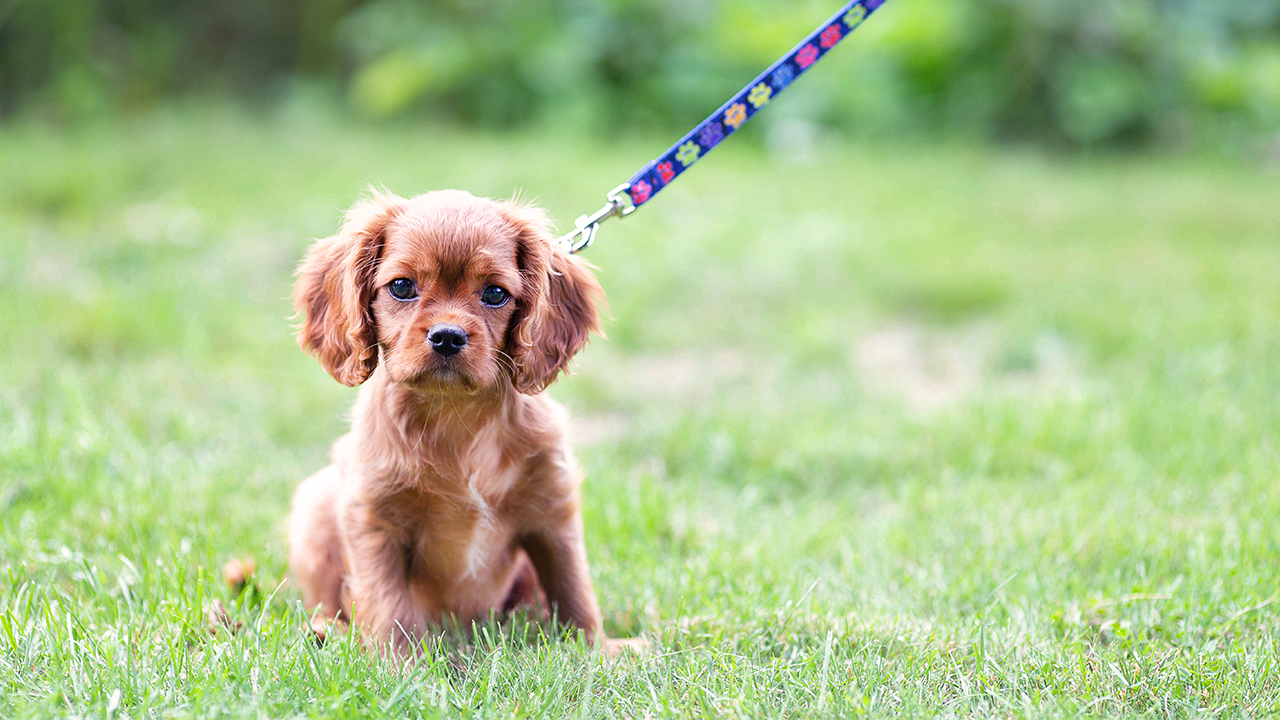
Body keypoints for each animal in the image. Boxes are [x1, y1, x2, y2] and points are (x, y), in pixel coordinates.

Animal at [288, 188, 632, 653]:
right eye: (402, 286)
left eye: (495, 293)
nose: (448, 336)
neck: (454, 413)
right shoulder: (372, 518)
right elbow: (389, 605)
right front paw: (401, 665)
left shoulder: (552, 511)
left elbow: (572, 587)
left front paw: (596, 650)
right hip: (314, 507)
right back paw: (328, 630)